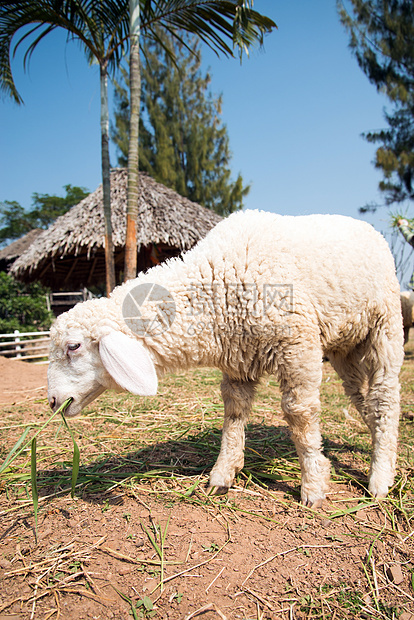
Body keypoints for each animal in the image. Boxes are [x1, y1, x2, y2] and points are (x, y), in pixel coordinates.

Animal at [46, 211, 404, 506]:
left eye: (73, 346)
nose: (52, 402)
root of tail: (369, 228)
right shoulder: (238, 362)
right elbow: (233, 415)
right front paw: (222, 475)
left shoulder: (297, 345)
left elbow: (300, 417)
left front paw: (313, 486)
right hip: (346, 346)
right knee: (363, 398)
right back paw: (377, 444)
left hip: (385, 325)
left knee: (385, 397)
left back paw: (380, 479)